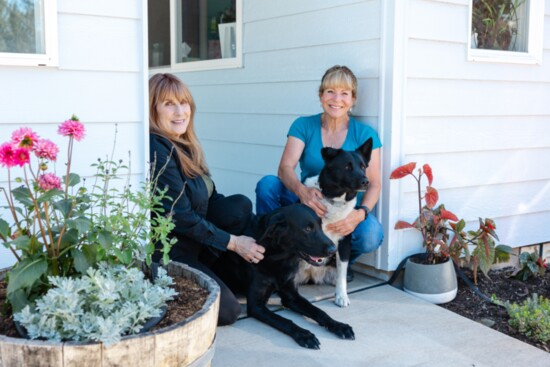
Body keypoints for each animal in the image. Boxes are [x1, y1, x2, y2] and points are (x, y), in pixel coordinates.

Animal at [211, 204, 354, 350]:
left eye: (321, 226)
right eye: (307, 229)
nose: (333, 250)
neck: (278, 257)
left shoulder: (291, 296)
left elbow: (319, 311)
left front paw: (339, 326)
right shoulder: (256, 306)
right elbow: (285, 321)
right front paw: (305, 335)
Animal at [298, 138, 376, 308]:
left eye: (363, 166)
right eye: (347, 166)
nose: (366, 181)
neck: (335, 201)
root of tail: (311, 276)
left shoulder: (344, 242)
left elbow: (342, 273)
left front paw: (341, 296)